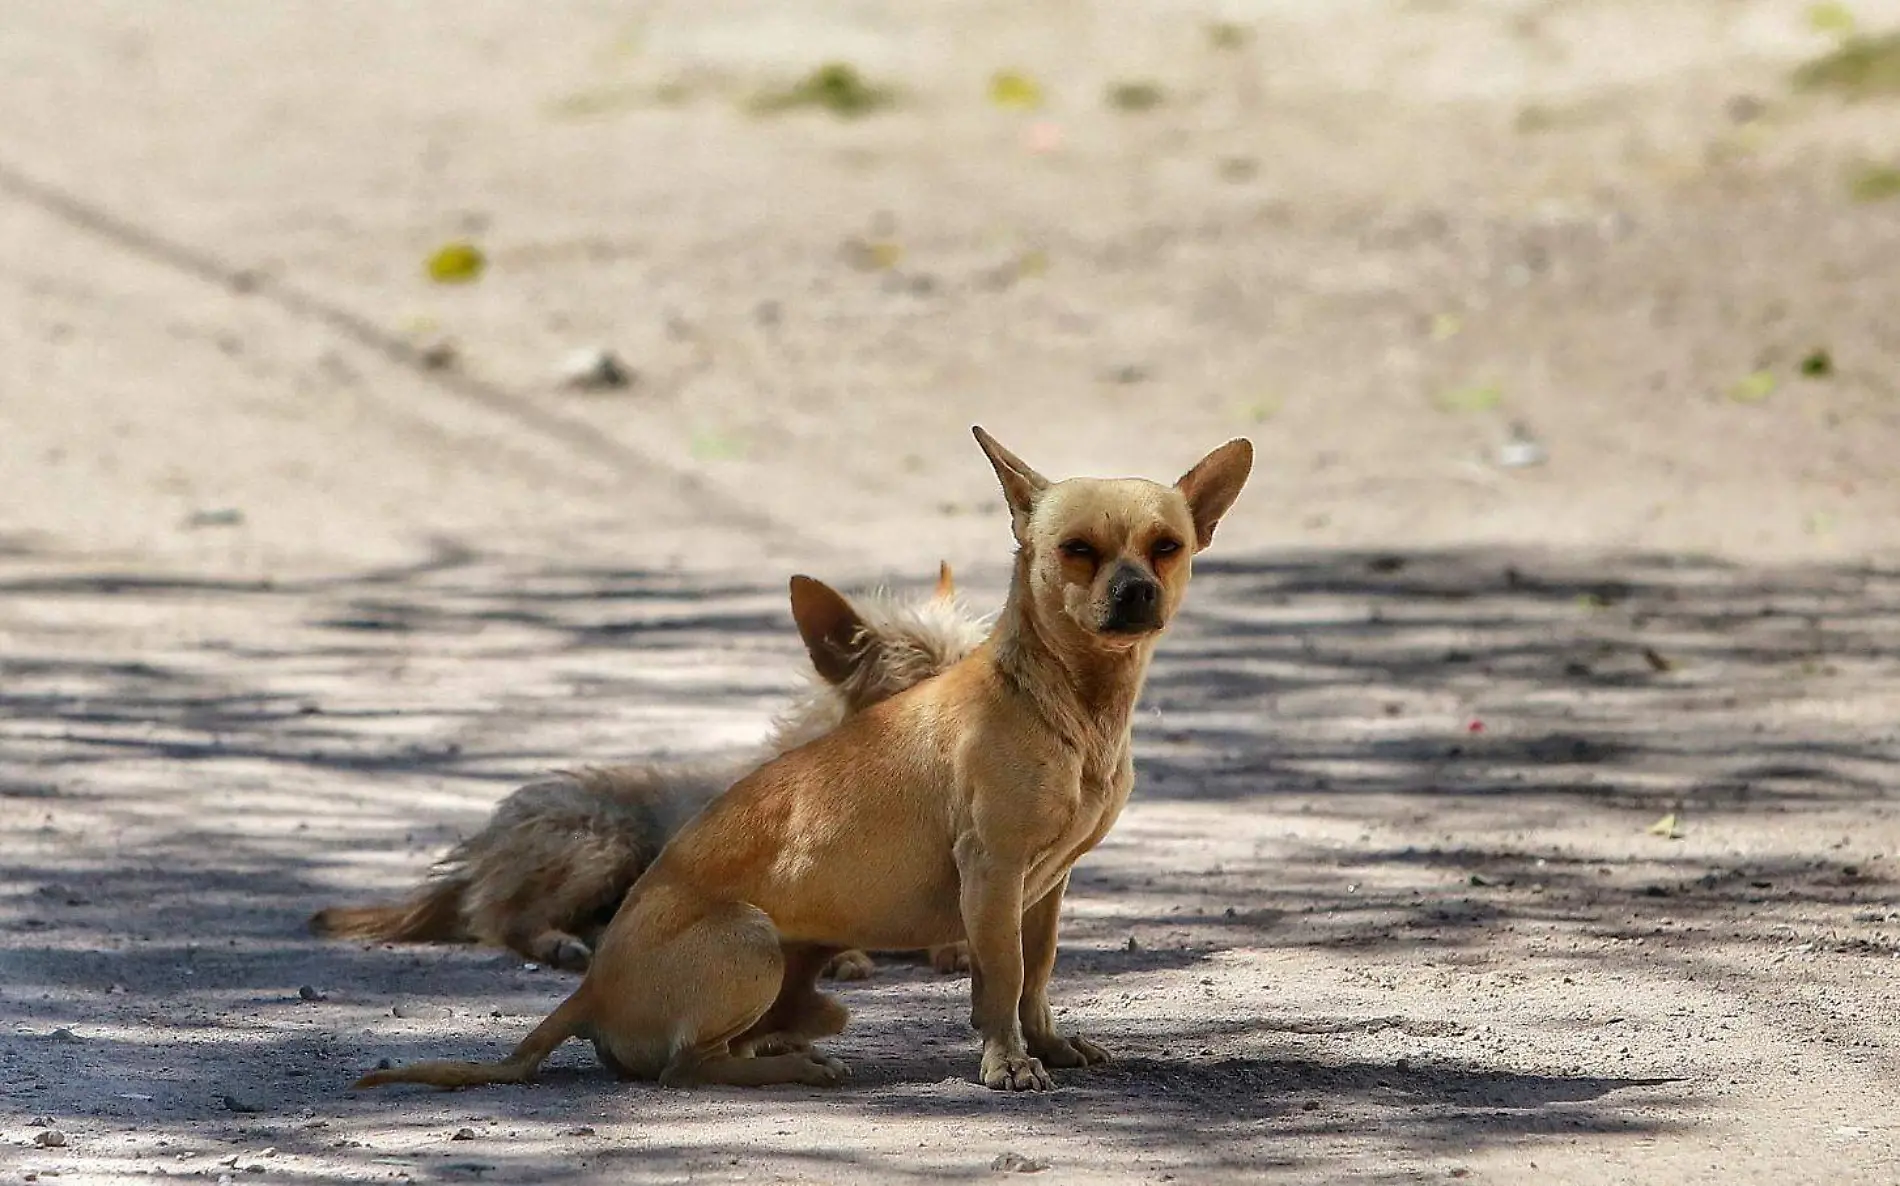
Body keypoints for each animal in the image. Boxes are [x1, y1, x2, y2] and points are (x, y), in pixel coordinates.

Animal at [355, 431, 1246, 1094]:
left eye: (1167, 548)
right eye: (1077, 550)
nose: (1135, 591)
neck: (1071, 702)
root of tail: (592, 989)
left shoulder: (1046, 886)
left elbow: (1035, 978)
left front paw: (1047, 1046)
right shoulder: (994, 873)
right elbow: (1000, 978)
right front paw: (1007, 1064)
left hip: (806, 986)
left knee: (733, 1047)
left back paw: (788, 1052)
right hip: (749, 941)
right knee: (684, 1068)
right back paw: (798, 1069)